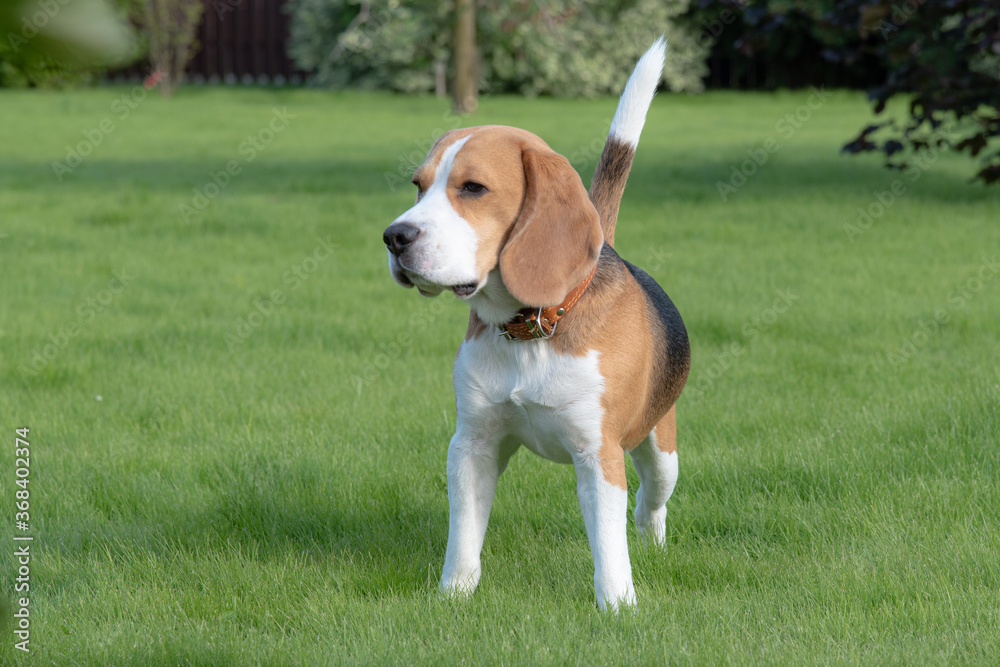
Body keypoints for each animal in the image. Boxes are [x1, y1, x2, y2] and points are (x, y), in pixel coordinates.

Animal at [382, 37, 688, 612]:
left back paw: (652, 540)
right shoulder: (471, 446)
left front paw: (618, 606)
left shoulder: (598, 455)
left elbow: (609, 543)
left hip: (661, 447)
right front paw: (454, 597)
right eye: (418, 186)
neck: (533, 329)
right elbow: (463, 537)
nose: (395, 237)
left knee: (650, 501)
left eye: (473, 188)